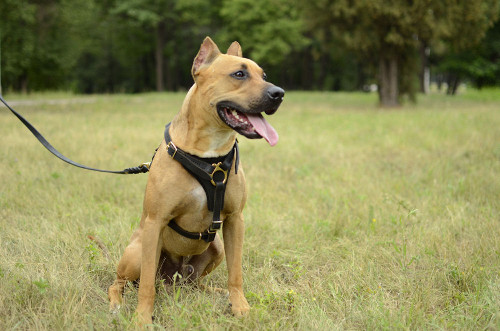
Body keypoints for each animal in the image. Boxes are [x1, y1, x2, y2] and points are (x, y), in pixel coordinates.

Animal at [107, 37, 284, 326]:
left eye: (264, 76)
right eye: (239, 74)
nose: (279, 93)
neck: (209, 157)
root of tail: (174, 279)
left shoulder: (235, 220)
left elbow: (236, 273)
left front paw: (240, 307)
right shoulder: (155, 221)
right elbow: (146, 285)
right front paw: (142, 318)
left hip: (217, 248)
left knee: (196, 283)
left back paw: (217, 292)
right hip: (136, 252)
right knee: (121, 282)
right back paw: (116, 304)